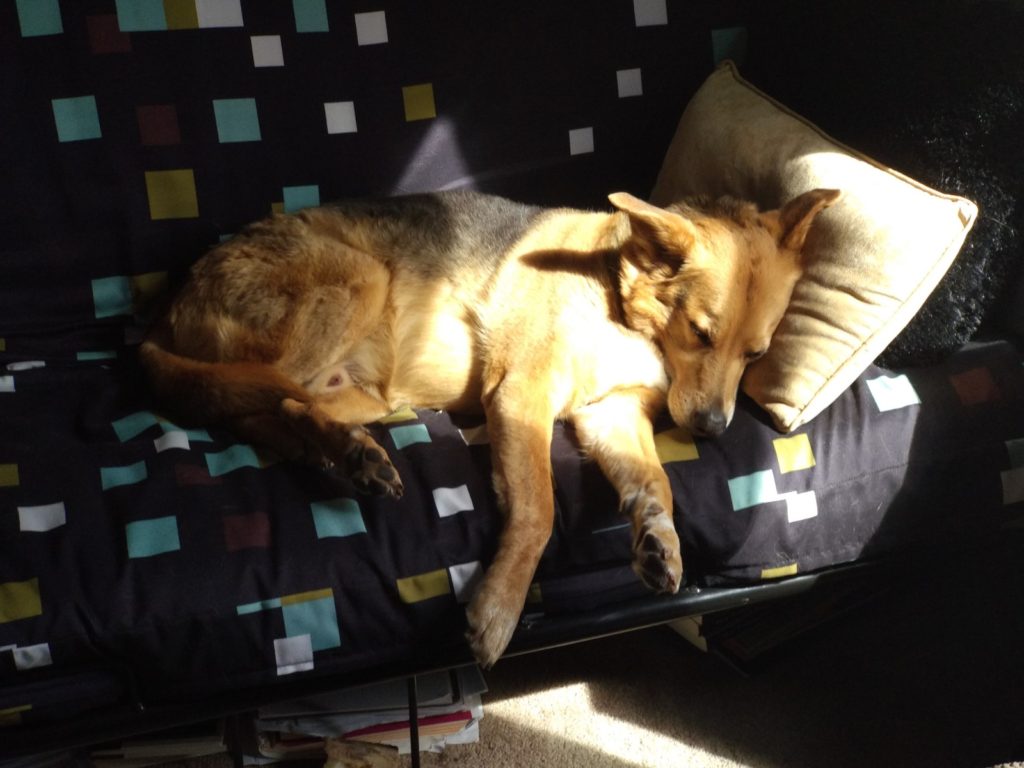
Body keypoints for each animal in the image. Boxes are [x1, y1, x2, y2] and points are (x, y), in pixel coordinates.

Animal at [138, 186, 839, 667]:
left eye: (756, 353)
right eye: (701, 333)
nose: (712, 431)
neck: (618, 293)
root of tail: (163, 317)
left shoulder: (607, 414)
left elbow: (655, 483)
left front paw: (658, 538)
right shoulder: (523, 397)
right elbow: (540, 512)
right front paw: (500, 607)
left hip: (365, 389)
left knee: (262, 416)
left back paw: (345, 455)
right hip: (354, 289)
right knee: (259, 402)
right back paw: (347, 454)